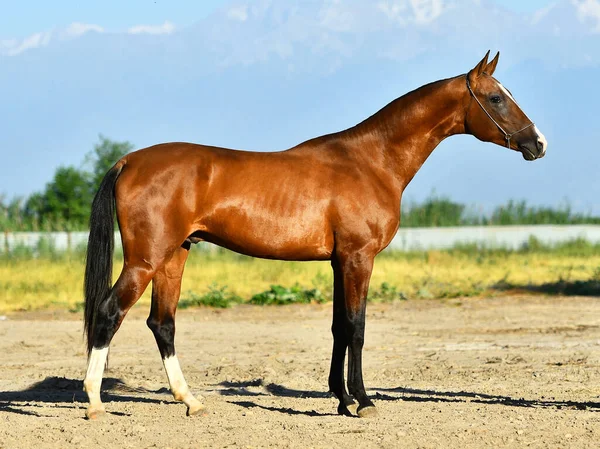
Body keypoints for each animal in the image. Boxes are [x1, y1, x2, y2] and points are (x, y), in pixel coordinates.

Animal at [83, 50, 548, 418]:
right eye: (496, 98)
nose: (538, 143)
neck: (371, 160)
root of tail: (129, 161)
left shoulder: (340, 262)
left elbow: (339, 327)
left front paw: (341, 399)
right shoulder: (359, 258)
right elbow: (357, 326)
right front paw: (363, 401)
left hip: (174, 257)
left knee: (162, 323)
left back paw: (191, 401)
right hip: (144, 261)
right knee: (109, 314)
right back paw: (95, 402)